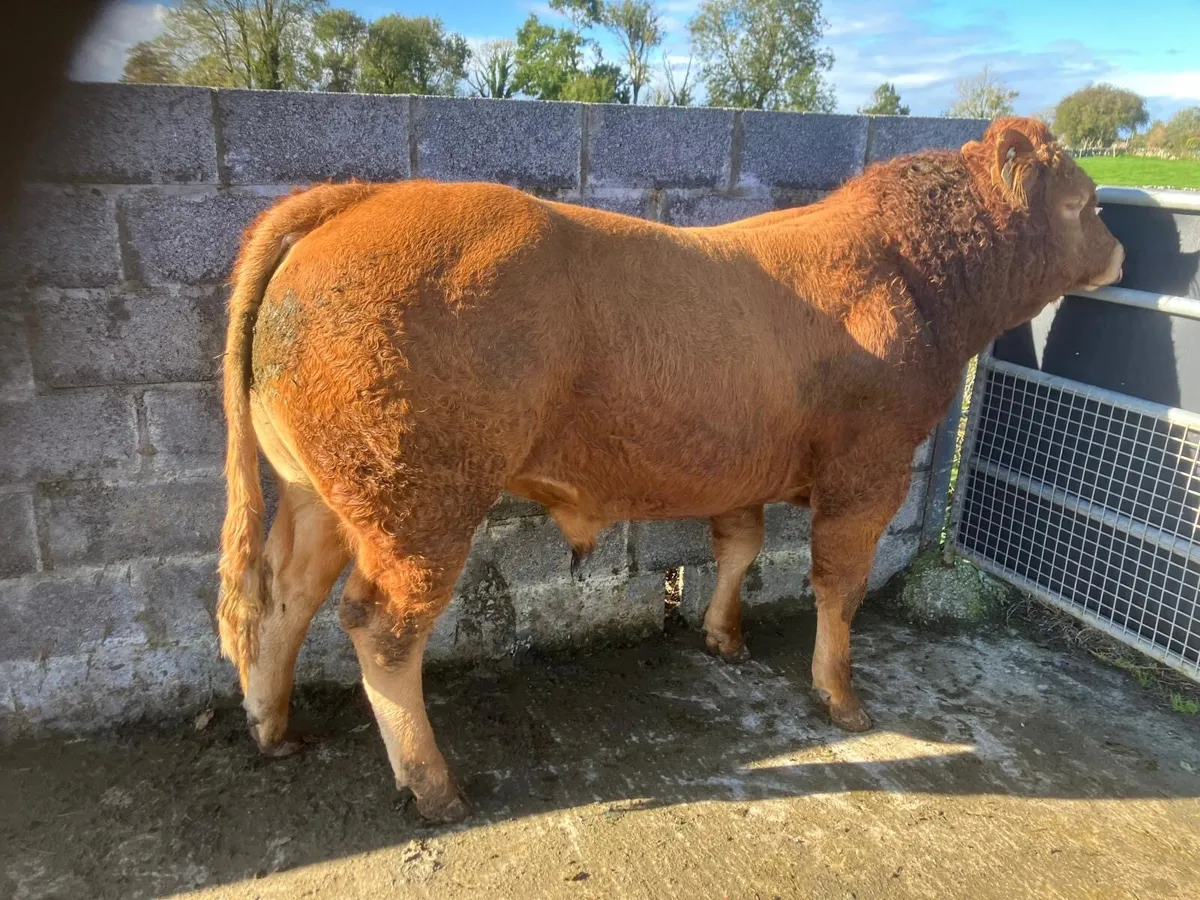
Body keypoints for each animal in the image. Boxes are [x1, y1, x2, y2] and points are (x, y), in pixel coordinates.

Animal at [217, 117, 1124, 822]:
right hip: (419, 503)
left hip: (319, 494)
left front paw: (724, 636)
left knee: (282, 596)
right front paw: (841, 696)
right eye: (1083, 202)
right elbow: (839, 585)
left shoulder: (742, 467)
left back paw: (272, 728)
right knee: (379, 628)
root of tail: (360, 197)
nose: (1119, 250)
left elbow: (739, 546)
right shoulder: (871, 470)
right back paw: (434, 787)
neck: (914, 277)